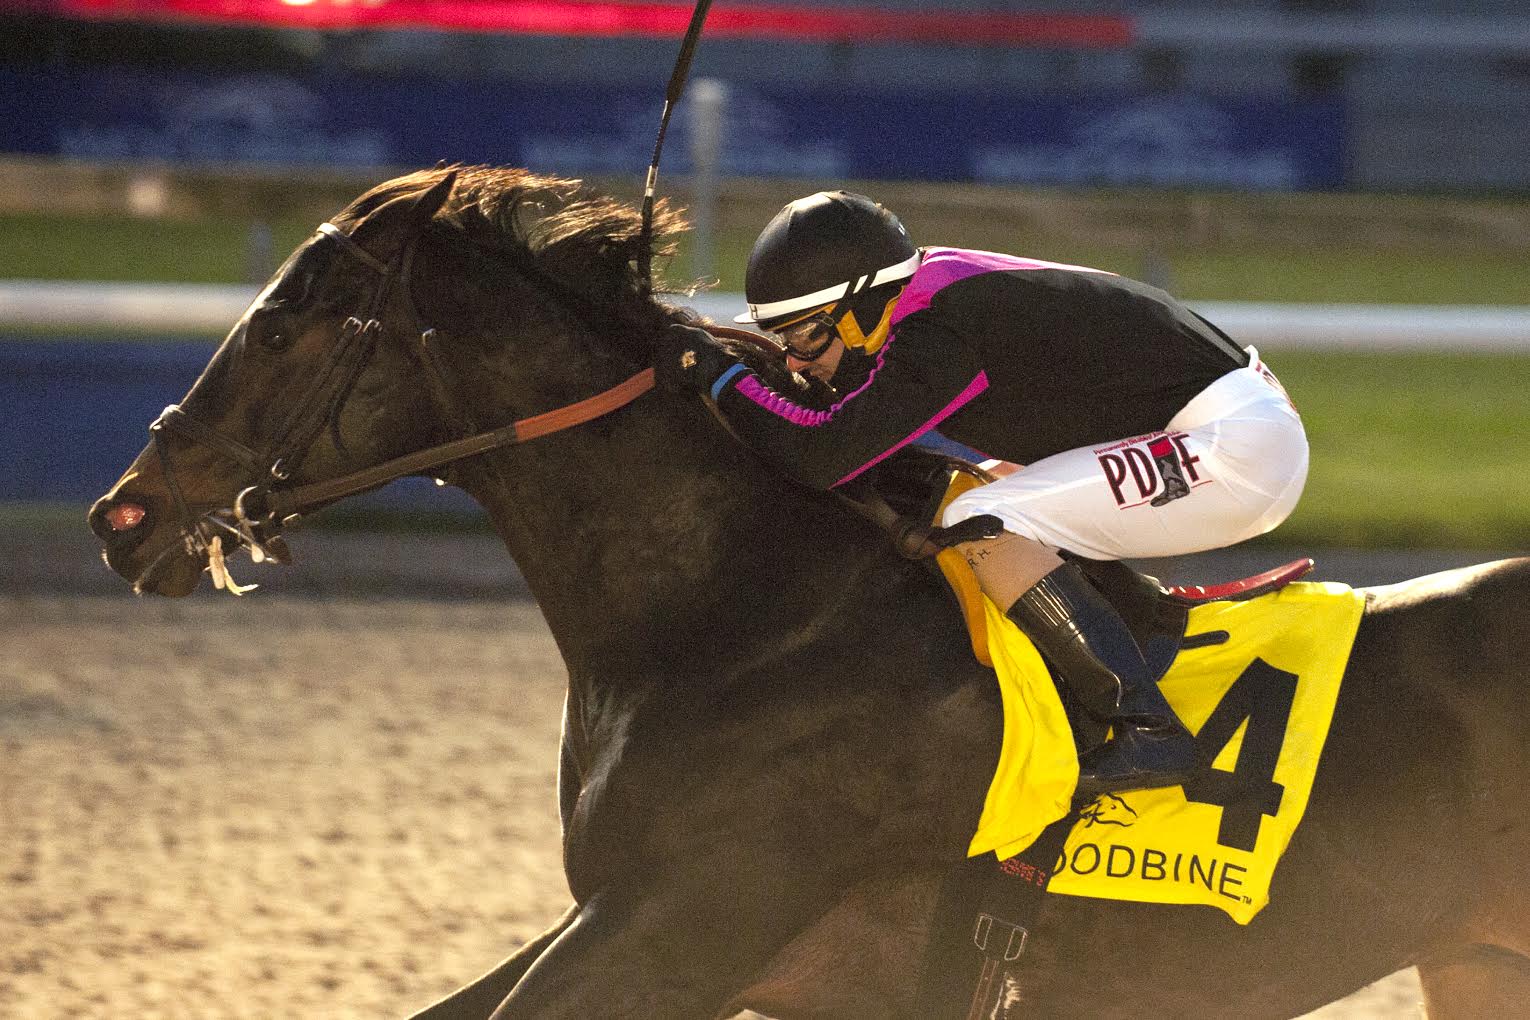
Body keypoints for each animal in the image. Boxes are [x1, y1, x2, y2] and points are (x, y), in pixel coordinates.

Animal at [86, 165, 1530, 1015]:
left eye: (283, 320)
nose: (125, 514)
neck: (737, 627)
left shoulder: (693, 923)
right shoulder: (627, 915)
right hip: (1477, 959)